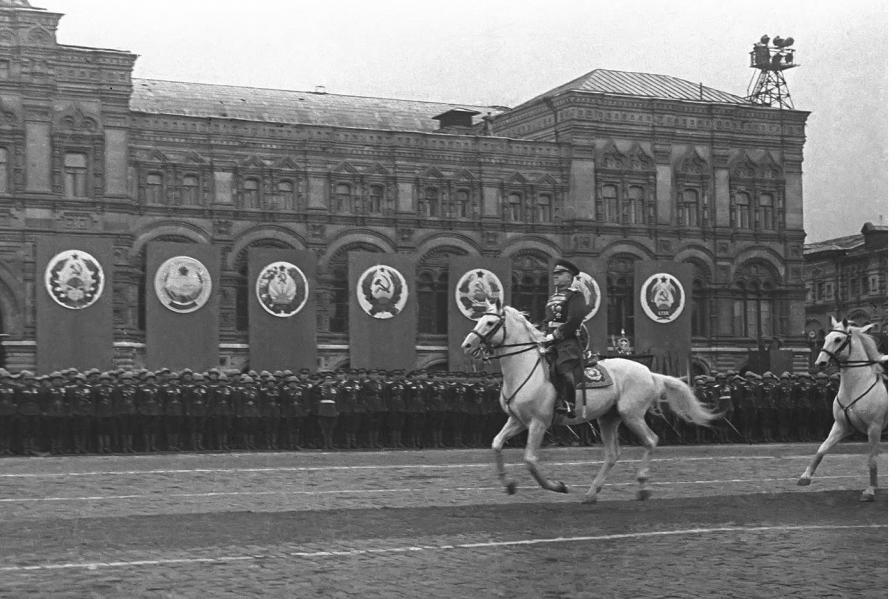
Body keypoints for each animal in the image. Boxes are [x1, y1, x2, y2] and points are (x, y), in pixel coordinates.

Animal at [462, 300, 712, 502]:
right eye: (479, 319)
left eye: (490, 322)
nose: (467, 345)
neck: (524, 369)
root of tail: (649, 372)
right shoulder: (517, 421)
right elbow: (496, 444)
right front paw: (509, 484)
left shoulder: (538, 423)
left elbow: (530, 460)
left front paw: (557, 486)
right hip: (608, 419)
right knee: (612, 454)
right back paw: (592, 493)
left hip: (631, 415)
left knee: (651, 440)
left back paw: (642, 487)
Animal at [800, 318, 888, 502]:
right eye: (826, 337)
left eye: (838, 339)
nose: (820, 363)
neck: (855, 386)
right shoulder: (841, 426)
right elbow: (822, 449)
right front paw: (805, 476)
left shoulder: (874, 428)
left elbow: (872, 459)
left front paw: (870, 490)